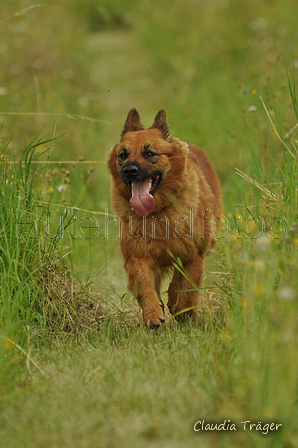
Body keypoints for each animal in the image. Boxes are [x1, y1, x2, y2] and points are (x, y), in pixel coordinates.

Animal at [108, 110, 222, 328]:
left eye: (150, 153)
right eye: (123, 155)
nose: (129, 170)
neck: (159, 213)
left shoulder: (193, 254)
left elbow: (187, 286)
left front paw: (184, 312)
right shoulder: (137, 257)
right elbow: (146, 287)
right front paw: (153, 314)